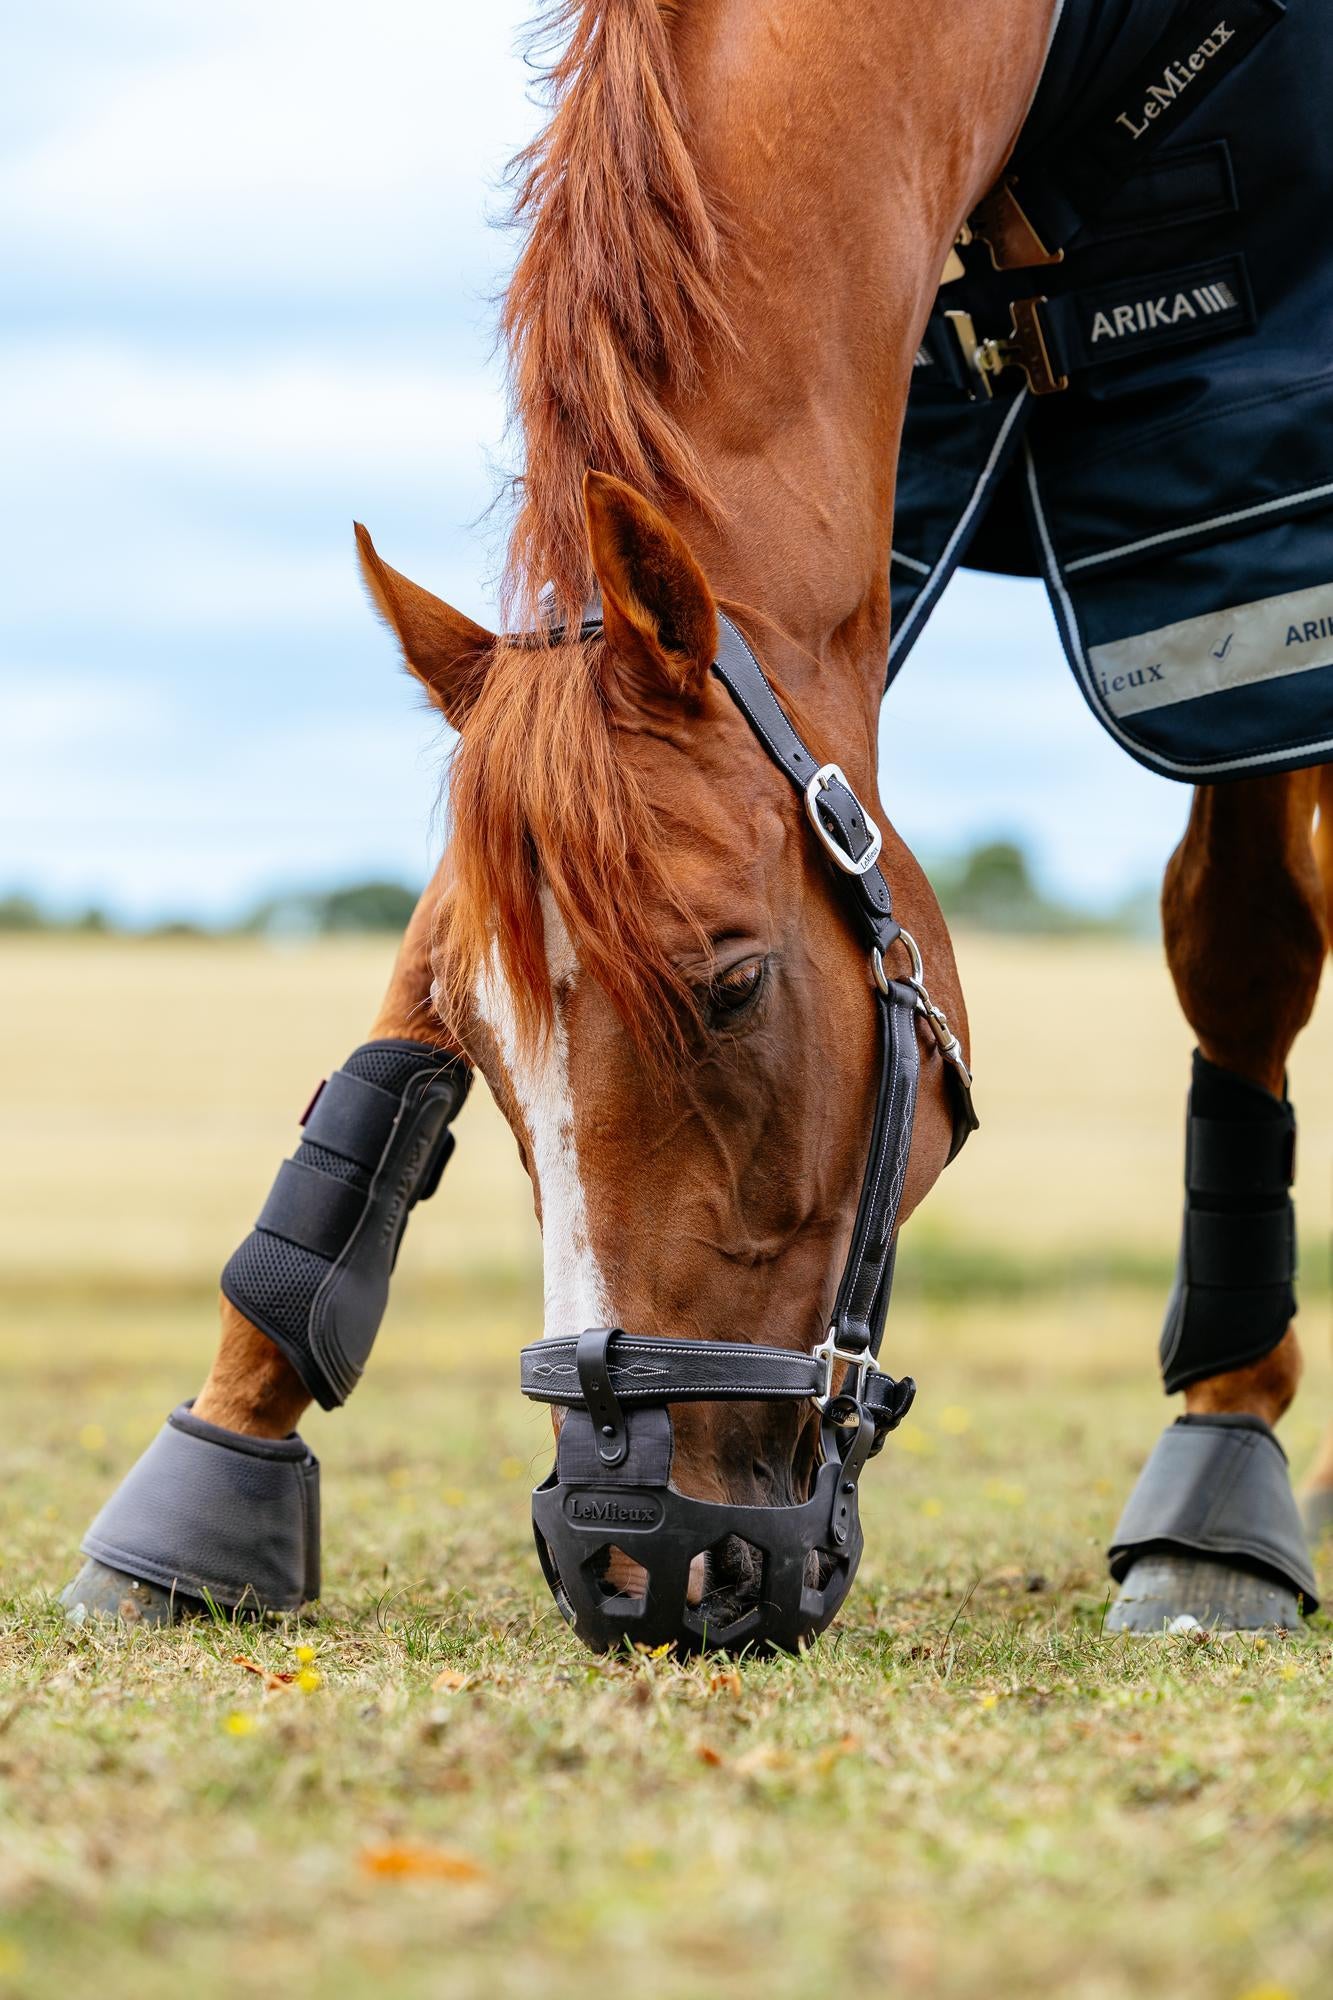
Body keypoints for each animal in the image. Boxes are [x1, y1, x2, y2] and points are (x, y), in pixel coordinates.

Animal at [61, 0, 1330, 1647]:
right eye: (479, 1048)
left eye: (731, 985)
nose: (628, 1553)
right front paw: (204, 1485)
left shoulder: (1254, 543)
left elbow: (1244, 945)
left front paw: (1222, 1472)